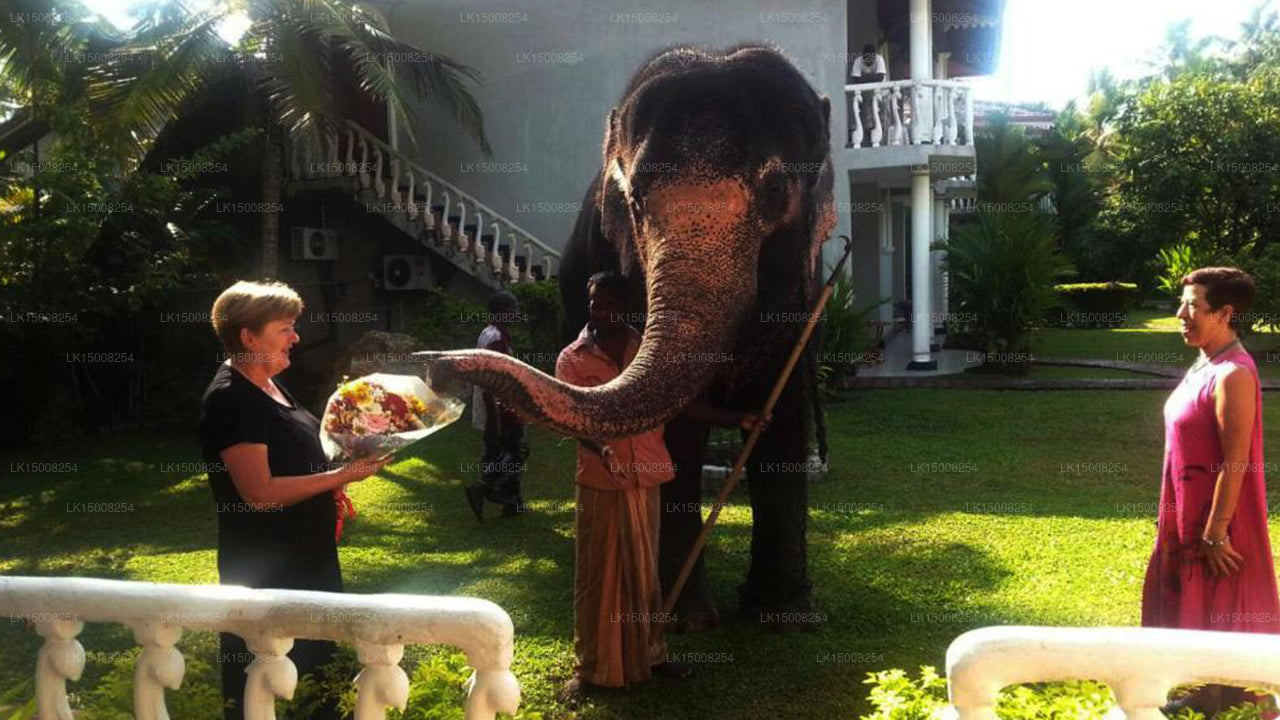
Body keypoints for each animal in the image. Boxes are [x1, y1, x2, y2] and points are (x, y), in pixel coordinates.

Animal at [426, 44, 836, 630]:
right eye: (637, 200)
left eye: (777, 191)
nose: (434, 365)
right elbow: (679, 429)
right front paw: (686, 620)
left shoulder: (806, 293)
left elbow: (785, 412)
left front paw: (785, 615)